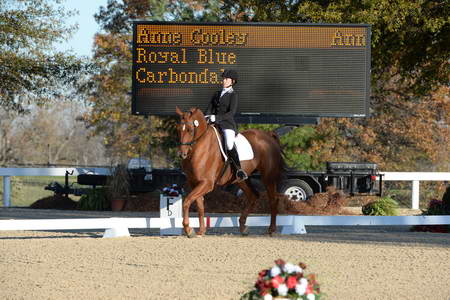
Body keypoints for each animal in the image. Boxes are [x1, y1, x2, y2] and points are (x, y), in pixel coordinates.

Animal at [176, 106, 284, 238]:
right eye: (178, 130)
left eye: (190, 130)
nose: (182, 154)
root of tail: (268, 135)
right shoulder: (194, 182)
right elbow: (199, 205)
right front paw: (201, 231)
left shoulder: (207, 183)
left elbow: (187, 201)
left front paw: (188, 229)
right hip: (240, 180)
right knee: (253, 196)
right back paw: (243, 227)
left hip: (268, 177)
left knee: (273, 200)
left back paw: (271, 229)